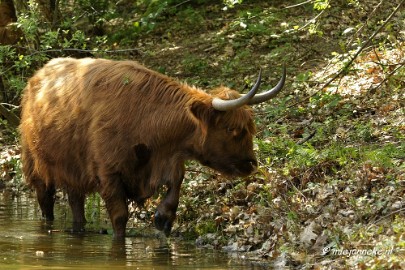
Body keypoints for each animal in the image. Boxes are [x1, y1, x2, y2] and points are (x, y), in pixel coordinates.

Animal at [19, 58, 284, 237]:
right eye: (231, 129)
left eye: (250, 128)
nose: (251, 163)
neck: (146, 118)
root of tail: (38, 75)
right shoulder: (108, 173)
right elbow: (119, 217)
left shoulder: (168, 160)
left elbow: (176, 186)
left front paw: (162, 218)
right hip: (36, 163)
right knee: (46, 200)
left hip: (74, 170)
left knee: (76, 204)